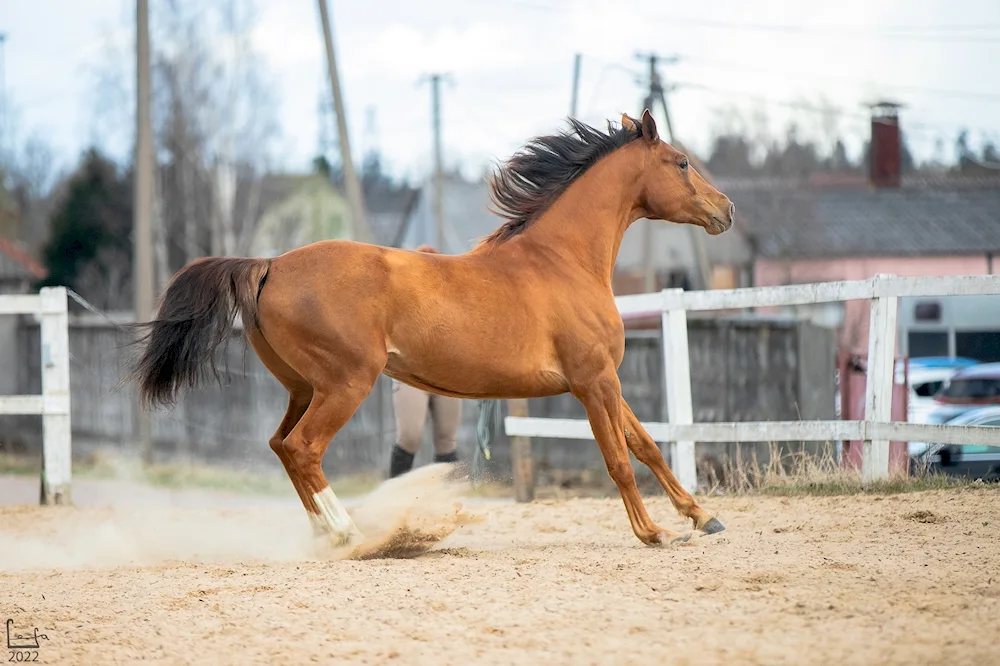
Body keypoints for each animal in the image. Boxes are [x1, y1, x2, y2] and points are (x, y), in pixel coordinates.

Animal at [131, 109, 736, 548]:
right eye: (681, 162)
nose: (726, 210)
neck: (561, 260)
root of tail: (269, 265)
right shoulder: (593, 382)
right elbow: (619, 460)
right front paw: (653, 533)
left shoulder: (604, 379)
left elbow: (648, 446)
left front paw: (703, 517)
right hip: (346, 384)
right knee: (304, 449)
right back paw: (350, 533)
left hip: (303, 388)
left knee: (281, 445)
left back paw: (326, 534)